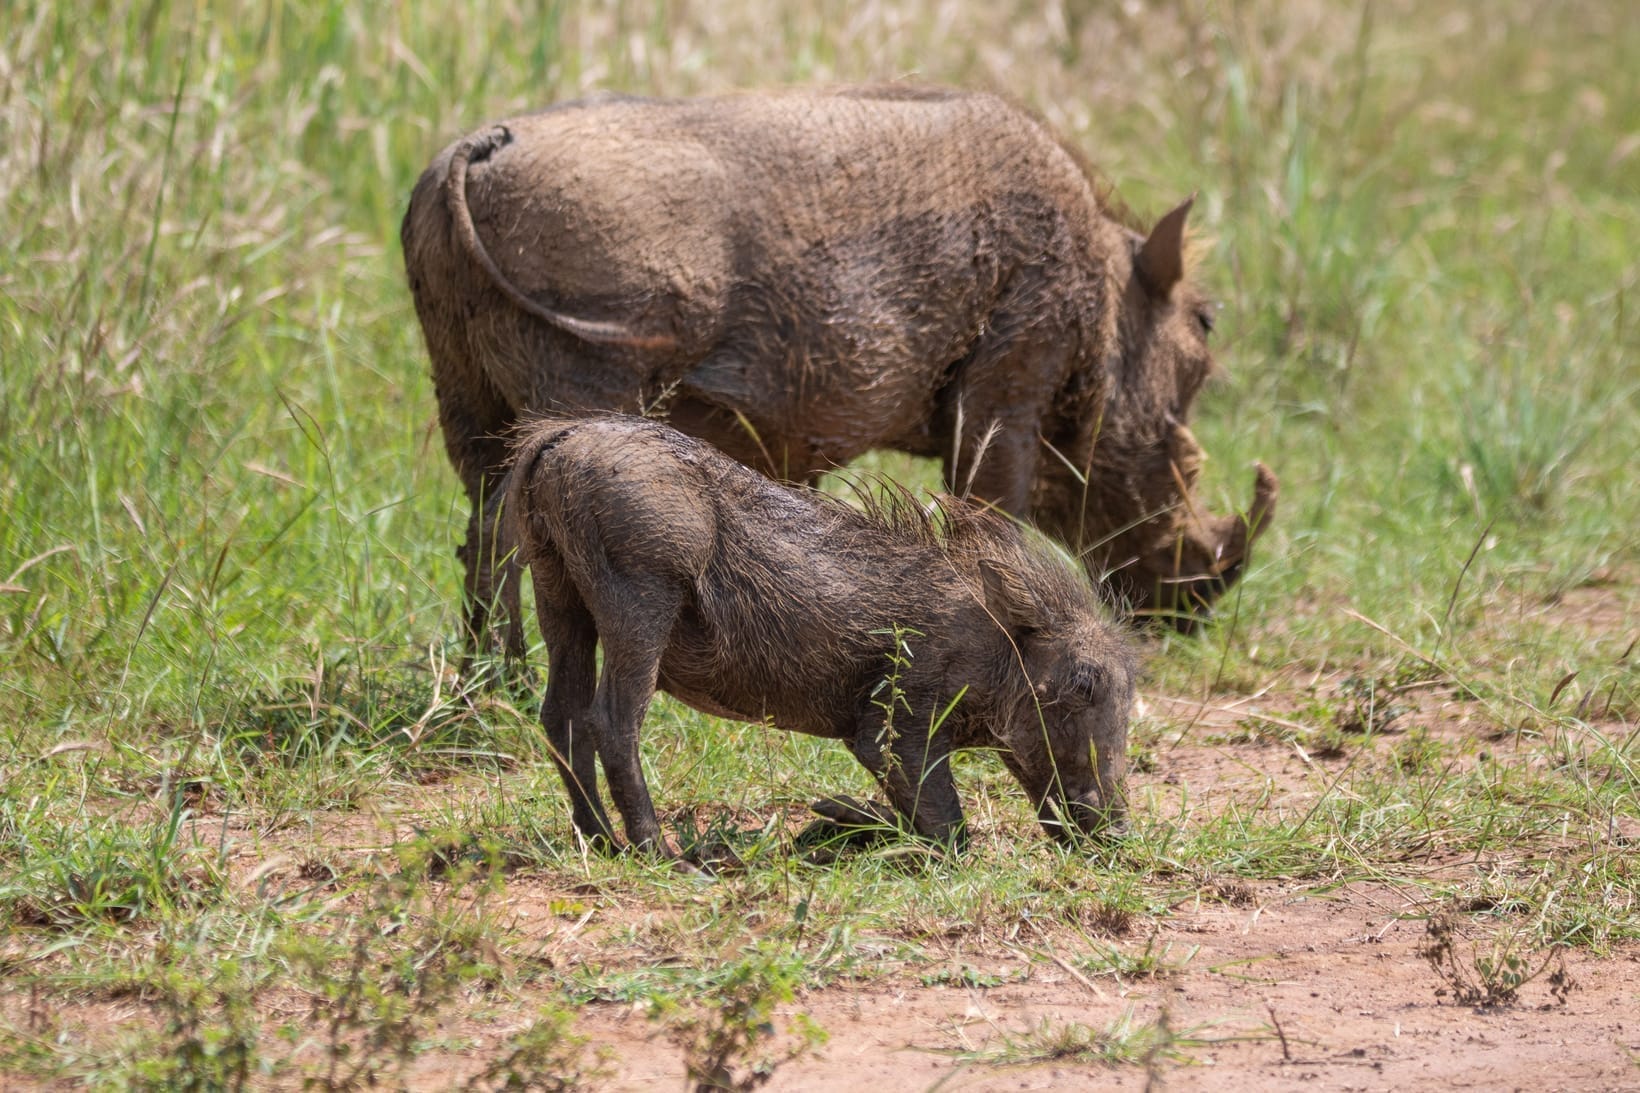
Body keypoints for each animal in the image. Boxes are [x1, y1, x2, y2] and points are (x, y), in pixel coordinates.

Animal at [401, 85, 1277, 662]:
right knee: (514, 532)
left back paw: (492, 681)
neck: (1100, 290)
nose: (1190, 615)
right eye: (1201, 338)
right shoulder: (1009, 385)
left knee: (479, 529)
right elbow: (991, 510)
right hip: (581, 388)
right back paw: (524, 678)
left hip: (465, 393)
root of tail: (474, 155)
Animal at [502, 413, 1136, 853]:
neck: (1000, 644)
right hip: (641, 596)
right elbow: (948, 831)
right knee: (612, 720)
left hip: (558, 594)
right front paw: (842, 822)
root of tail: (560, 439)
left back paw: (600, 842)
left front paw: (832, 827)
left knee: (561, 716)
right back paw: (664, 854)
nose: (1117, 836)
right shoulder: (895, 721)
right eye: (1083, 683)